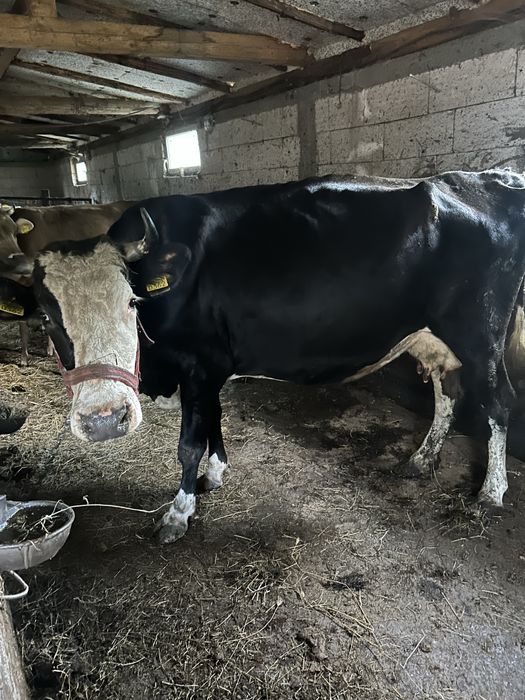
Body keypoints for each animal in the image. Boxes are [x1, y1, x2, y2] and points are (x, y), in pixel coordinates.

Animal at [31, 169, 525, 544]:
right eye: (47, 317)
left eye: (131, 302)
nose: (102, 420)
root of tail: (488, 177)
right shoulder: (211, 368)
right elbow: (214, 422)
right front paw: (216, 474)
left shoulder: (200, 365)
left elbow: (189, 444)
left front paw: (178, 513)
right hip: (433, 335)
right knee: (447, 391)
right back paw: (421, 461)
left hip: (480, 333)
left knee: (499, 402)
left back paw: (490, 491)